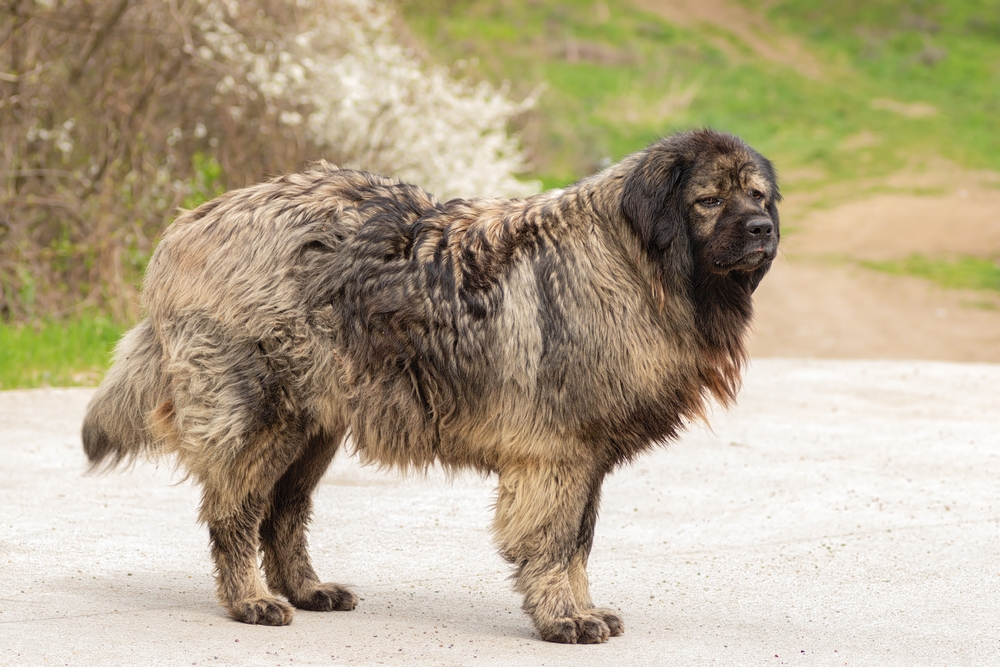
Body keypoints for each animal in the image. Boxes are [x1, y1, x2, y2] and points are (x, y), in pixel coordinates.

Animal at [80, 128, 780, 644]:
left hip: (314, 427)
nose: (762, 230)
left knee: (284, 513)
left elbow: (579, 540)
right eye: (710, 200)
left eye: (757, 196)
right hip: (259, 416)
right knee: (236, 511)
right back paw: (249, 601)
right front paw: (563, 616)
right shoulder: (558, 454)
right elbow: (555, 542)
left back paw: (305, 589)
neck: (632, 265)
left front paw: (580, 608)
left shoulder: (586, 459)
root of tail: (189, 223)